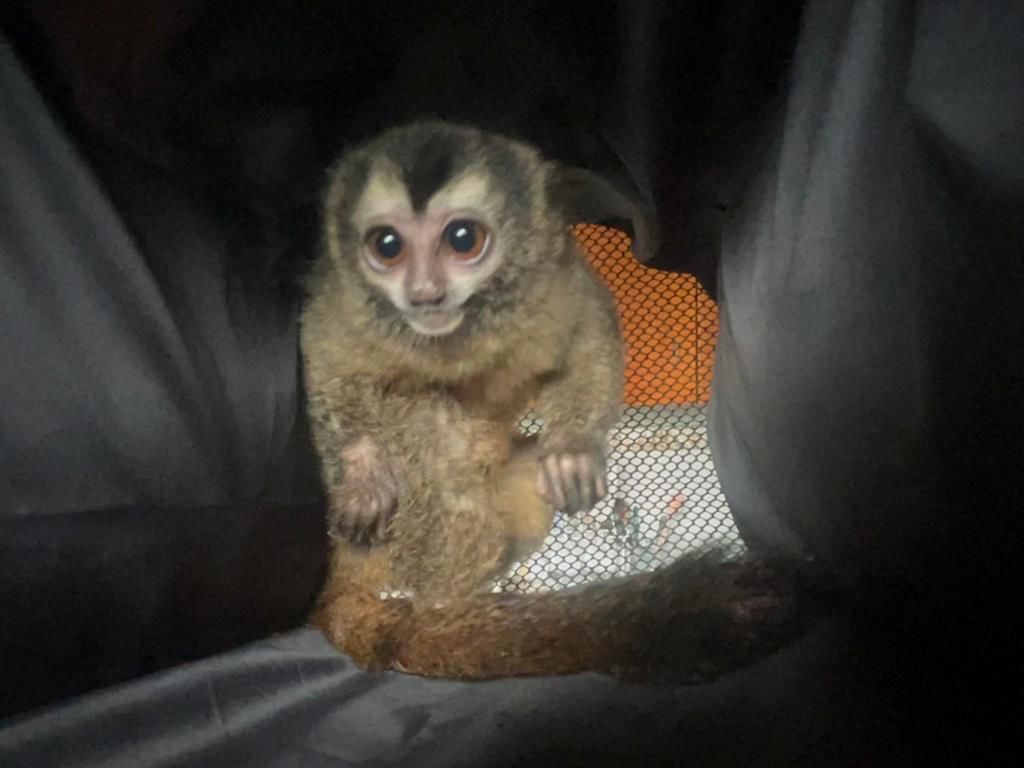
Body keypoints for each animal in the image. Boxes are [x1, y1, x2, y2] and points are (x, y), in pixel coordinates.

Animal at [300, 121, 825, 684]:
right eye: (388, 246)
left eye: (462, 240)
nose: (424, 293)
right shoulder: (341, 303)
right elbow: (325, 359)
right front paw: (362, 479)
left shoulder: (555, 277)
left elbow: (588, 334)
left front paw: (571, 452)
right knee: (432, 432)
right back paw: (437, 609)